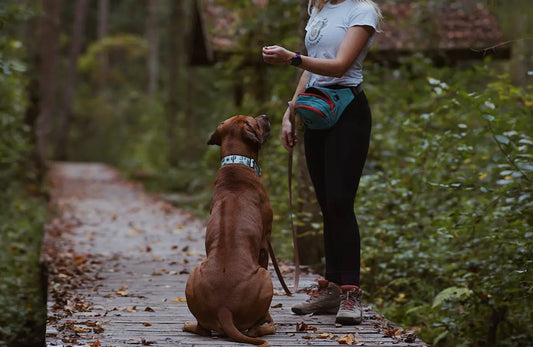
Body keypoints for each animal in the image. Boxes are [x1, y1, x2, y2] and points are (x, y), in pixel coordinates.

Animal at [183, 115, 274, 346]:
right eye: (254, 121)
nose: (265, 117)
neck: (236, 163)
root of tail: (224, 309)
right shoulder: (265, 245)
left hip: (193, 275)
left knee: (202, 329)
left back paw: (189, 325)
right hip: (265, 277)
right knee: (253, 331)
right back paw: (268, 326)